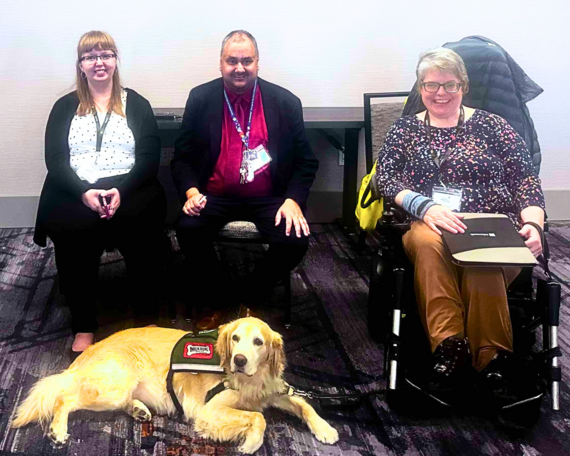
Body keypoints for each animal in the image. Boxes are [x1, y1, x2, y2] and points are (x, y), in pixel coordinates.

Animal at [12, 318, 338, 454]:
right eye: (235, 338)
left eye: (259, 342)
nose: (240, 360)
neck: (250, 380)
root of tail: (88, 351)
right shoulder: (208, 412)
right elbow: (258, 417)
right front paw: (251, 444)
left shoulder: (274, 390)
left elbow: (303, 403)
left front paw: (325, 428)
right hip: (111, 387)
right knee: (64, 398)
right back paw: (58, 431)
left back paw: (140, 411)